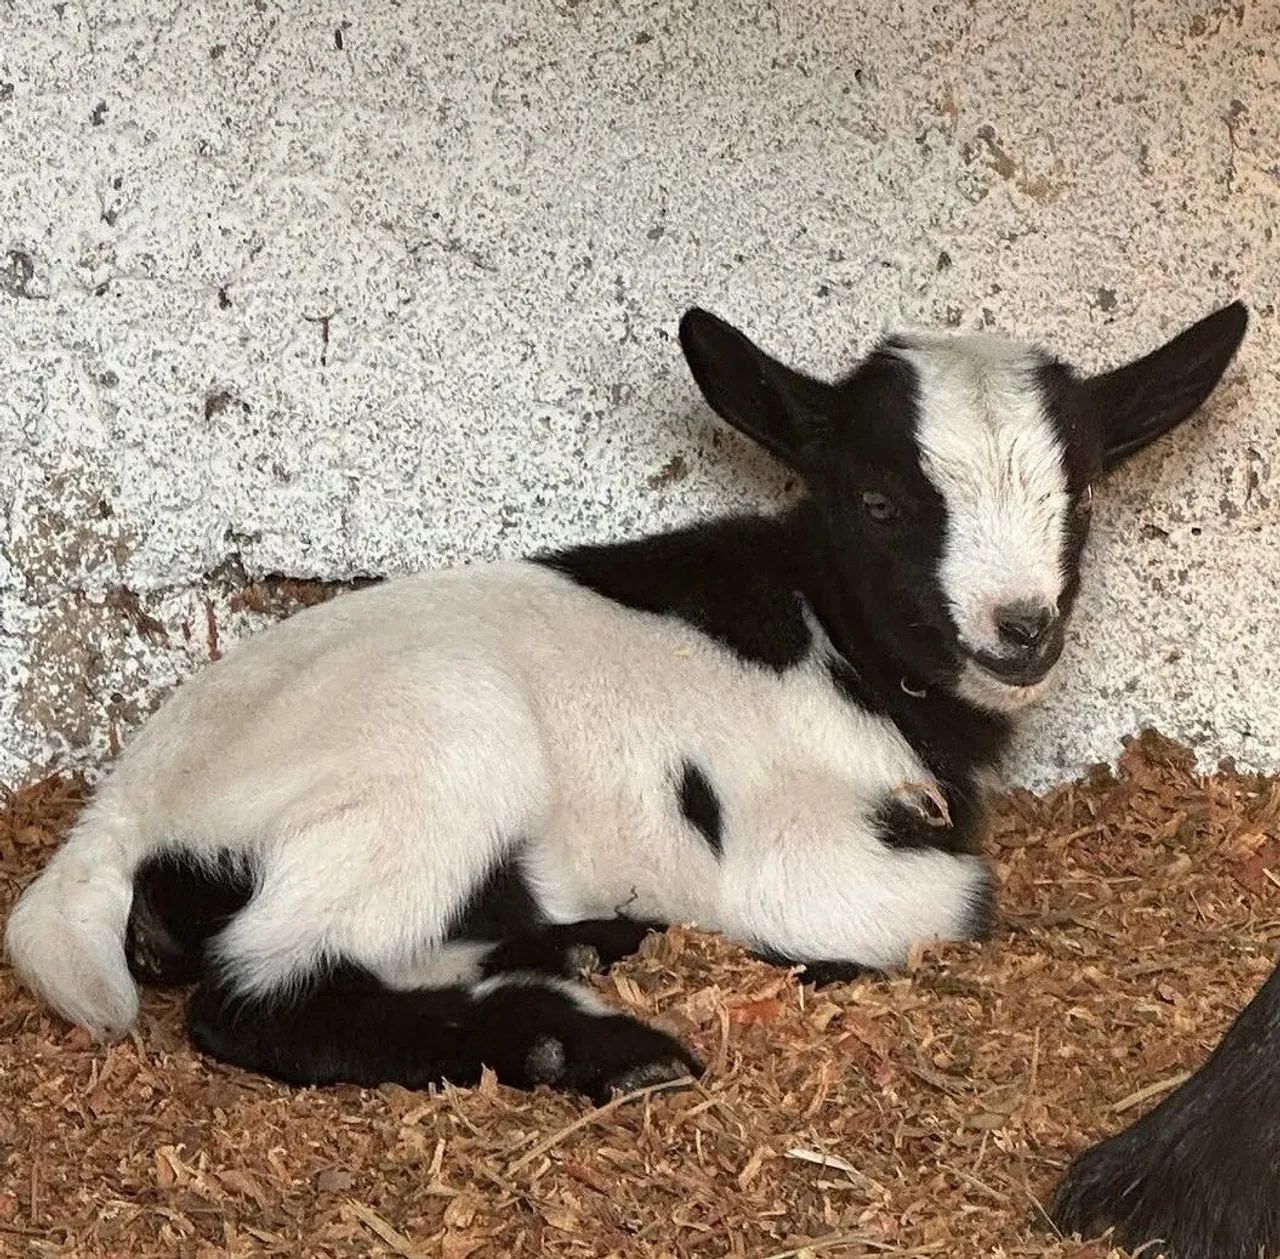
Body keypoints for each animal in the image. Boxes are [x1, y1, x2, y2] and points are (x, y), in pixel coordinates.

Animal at [5, 303, 1245, 1117]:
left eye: (1079, 493)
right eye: (880, 500)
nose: (1018, 627)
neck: (824, 626)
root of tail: (117, 817)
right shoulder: (793, 848)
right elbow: (952, 903)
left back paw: (581, 947)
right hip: (439, 749)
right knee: (260, 989)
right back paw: (589, 1046)